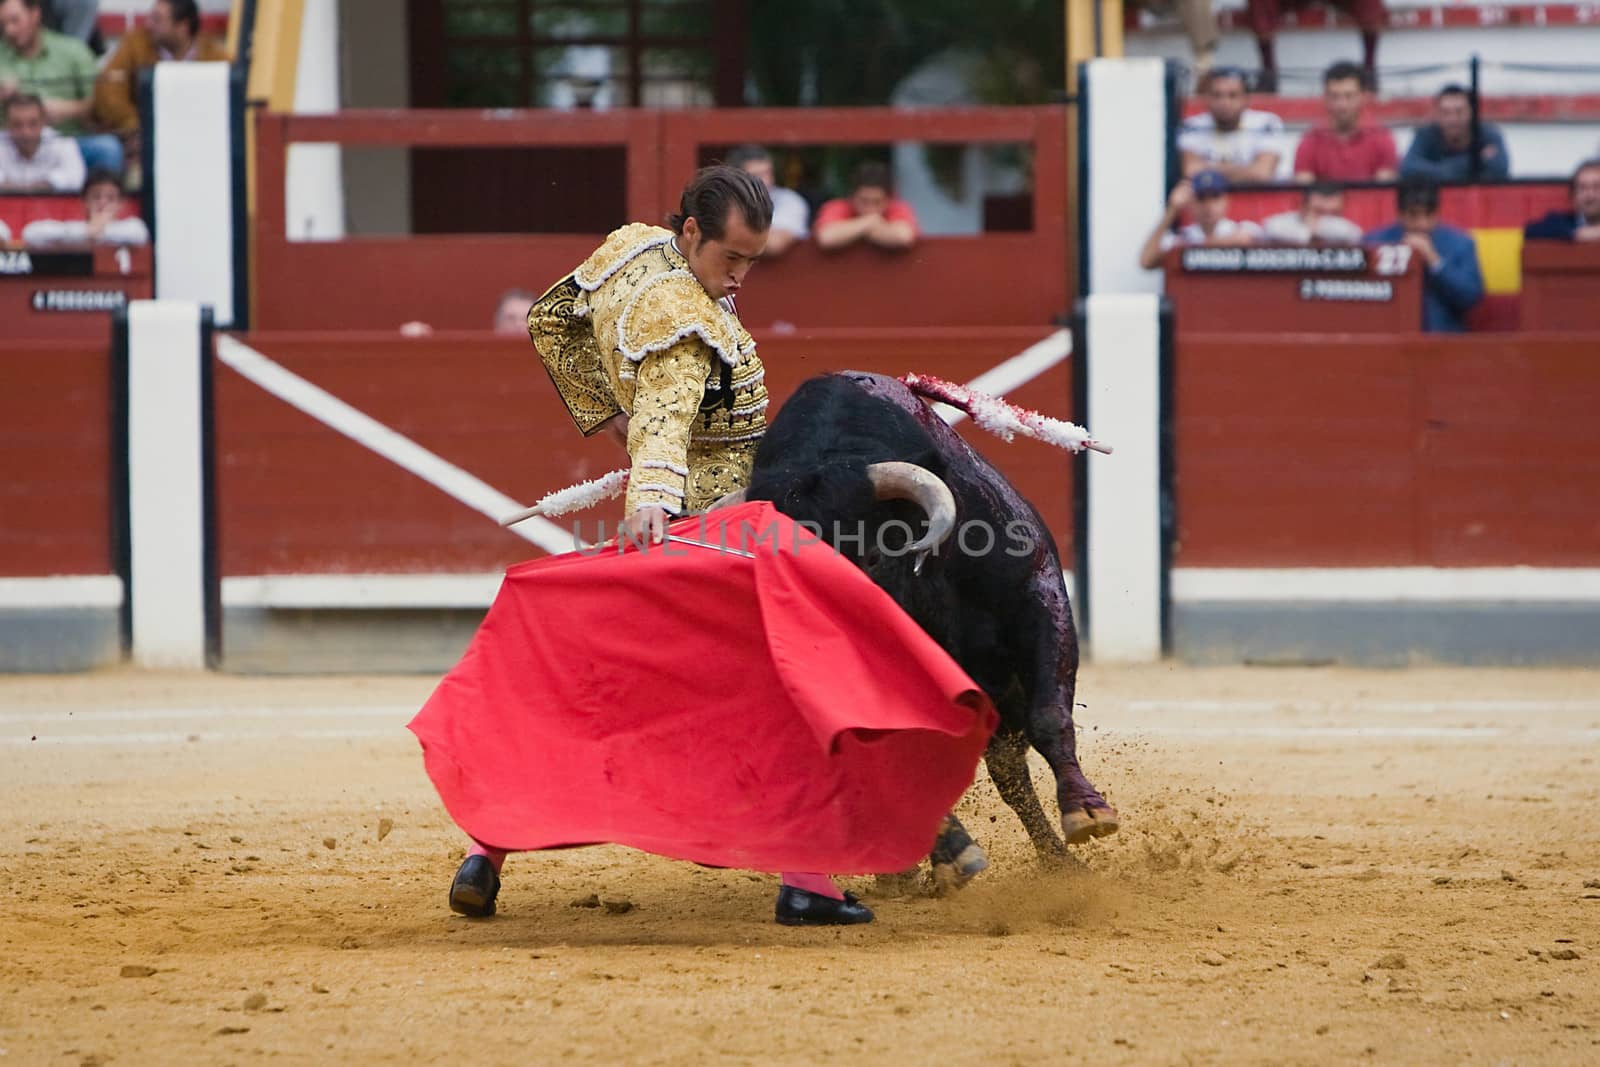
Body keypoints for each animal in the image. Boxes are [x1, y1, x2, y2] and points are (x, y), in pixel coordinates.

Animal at [720, 371, 1120, 883]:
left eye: (870, 558)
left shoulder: (1037, 591)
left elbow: (1049, 716)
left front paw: (1087, 813)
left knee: (1008, 773)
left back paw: (1056, 862)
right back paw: (930, 864)